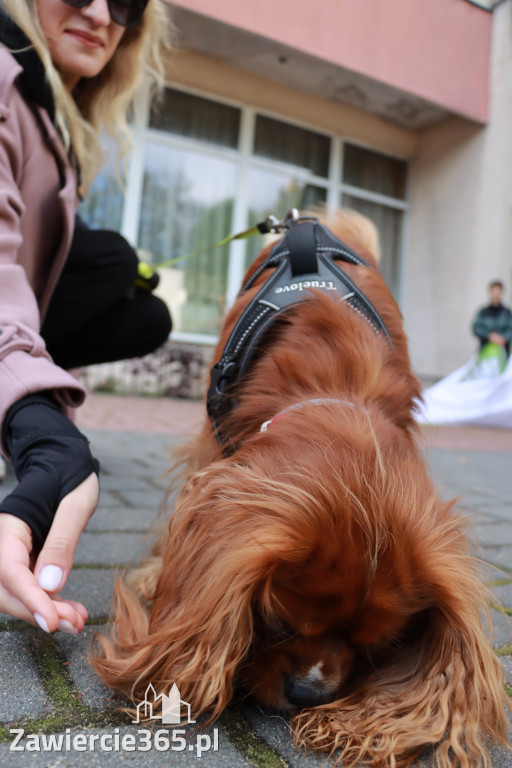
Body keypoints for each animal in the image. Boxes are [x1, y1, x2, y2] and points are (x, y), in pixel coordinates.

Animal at [91, 210, 508, 768]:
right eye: (279, 620)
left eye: (376, 645)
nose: (308, 694)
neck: (338, 385)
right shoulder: (215, 444)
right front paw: (159, 575)